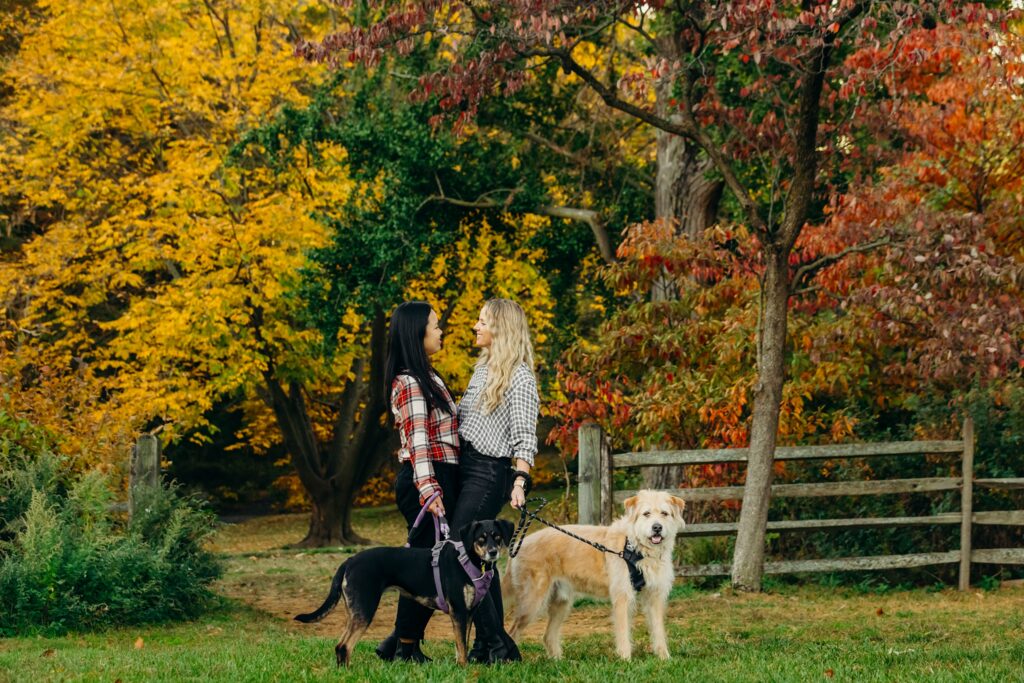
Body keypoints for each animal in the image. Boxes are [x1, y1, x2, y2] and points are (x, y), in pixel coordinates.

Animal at [296, 520, 520, 663]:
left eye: (497, 537)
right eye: (481, 539)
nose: (493, 552)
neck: (469, 561)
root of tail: (349, 561)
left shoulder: (469, 612)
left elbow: (461, 646)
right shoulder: (458, 612)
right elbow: (462, 650)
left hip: (355, 611)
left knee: (340, 646)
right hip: (365, 609)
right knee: (344, 646)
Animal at [505, 491, 684, 663]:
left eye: (664, 513)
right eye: (646, 513)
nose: (657, 527)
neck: (637, 547)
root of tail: (520, 543)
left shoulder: (655, 596)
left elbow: (658, 630)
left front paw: (664, 658)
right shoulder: (622, 597)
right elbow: (623, 631)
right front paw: (625, 660)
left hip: (561, 603)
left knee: (548, 635)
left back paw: (559, 662)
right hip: (532, 603)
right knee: (513, 631)